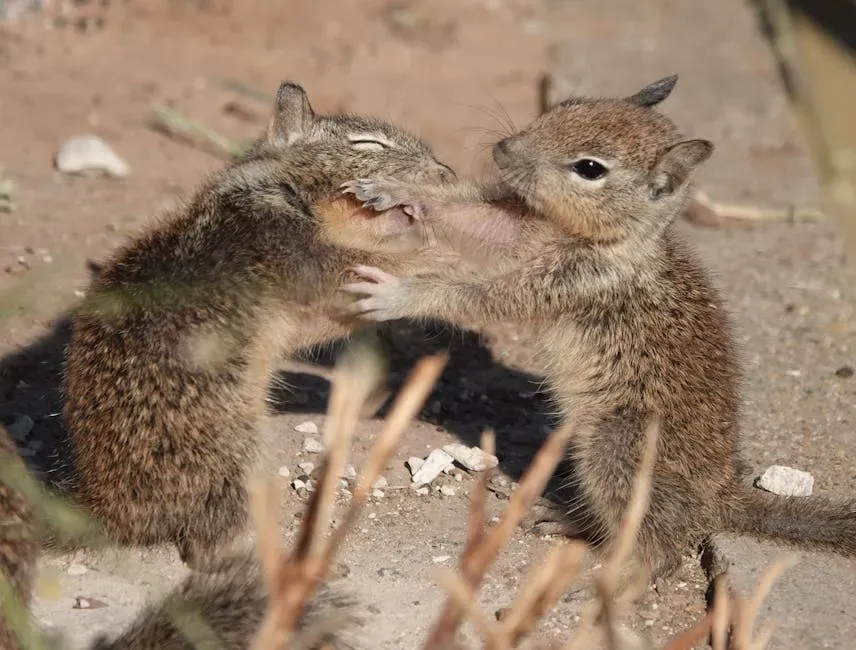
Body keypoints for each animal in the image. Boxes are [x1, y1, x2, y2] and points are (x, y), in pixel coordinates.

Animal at [62, 79, 464, 571]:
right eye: (367, 144)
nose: (447, 174)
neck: (284, 190)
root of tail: (107, 510)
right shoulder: (311, 264)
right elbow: (388, 264)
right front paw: (458, 252)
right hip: (236, 458)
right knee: (207, 551)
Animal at [339, 75, 856, 580]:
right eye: (567, 105)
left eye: (590, 169)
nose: (503, 148)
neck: (601, 239)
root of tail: (718, 496)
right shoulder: (521, 229)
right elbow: (474, 217)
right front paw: (393, 189)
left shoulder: (572, 283)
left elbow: (479, 297)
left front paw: (399, 294)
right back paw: (568, 522)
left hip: (618, 447)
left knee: (660, 552)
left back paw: (600, 576)